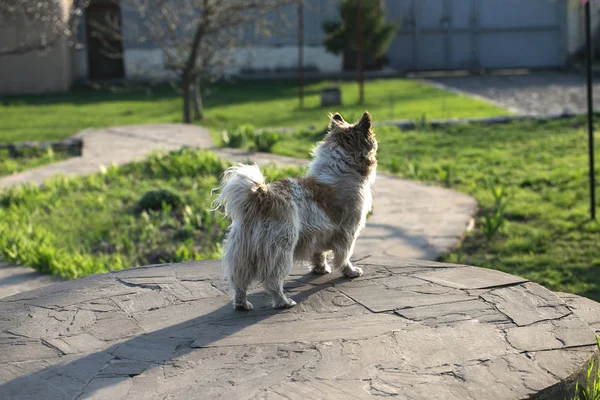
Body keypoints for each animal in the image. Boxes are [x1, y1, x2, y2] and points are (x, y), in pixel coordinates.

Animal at [213, 111, 378, 310]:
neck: (341, 168)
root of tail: (261, 196)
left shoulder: (319, 234)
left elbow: (319, 253)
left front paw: (320, 269)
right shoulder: (347, 233)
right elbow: (344, 256)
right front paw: (351, 271)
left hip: (242, 253)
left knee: (239, 281)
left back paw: (242, 304)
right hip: (281, 251)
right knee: (272, 281)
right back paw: (284, 302)